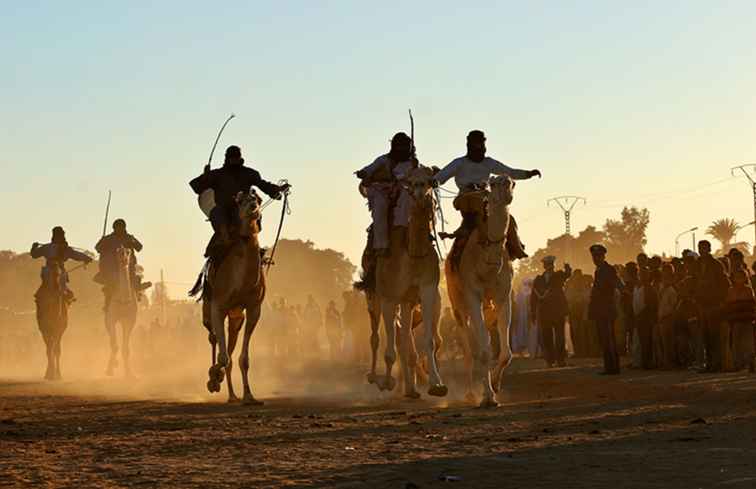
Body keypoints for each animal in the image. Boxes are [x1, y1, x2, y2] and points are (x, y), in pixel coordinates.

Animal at [103, 246, 139, 376]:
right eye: (118, 252)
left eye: (129, 252)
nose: (124, 259)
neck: (123, 300)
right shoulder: (111, 319)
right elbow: (115, 345)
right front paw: (110, 369)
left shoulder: (130, 320)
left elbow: (125, 348)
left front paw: (129, 373)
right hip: (107, 319)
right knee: (111, 341)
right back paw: (113, 364)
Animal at [190, 191, 268, 404]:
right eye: (239, 201)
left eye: (258, 198)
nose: (253, 206)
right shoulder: (218, 306)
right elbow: (223, 357)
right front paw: (213, 378)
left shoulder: (253, 309)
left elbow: (242, 359)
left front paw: (249, 396)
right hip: (208, 311)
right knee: (214, 339)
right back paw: (222, 385)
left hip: (236, 317)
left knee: (231, 349)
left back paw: (234, 395)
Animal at [358, 166, 446, 398]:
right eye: (411, 181)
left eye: (430, 180)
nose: (420, 192)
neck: (411, 253)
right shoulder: (389, 297)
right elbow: (389, 349)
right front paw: (387, 382)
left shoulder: (427, 291)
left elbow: (429, 341)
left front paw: (437, 384)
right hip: (374, 296)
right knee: (375, 337)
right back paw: (374, 377)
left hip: (406, 302)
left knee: (405, 339)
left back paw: (412, 390)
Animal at [446, 175, 516, 408]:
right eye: (493, 184)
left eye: (512, 182)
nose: (506, 186)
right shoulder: (473, 295)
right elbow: (484, 350)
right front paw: (487, 397)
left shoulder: (504, 296)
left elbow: (506, 352)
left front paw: (495, 384)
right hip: (457, 303)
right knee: (468, 348)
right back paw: (469, 393)